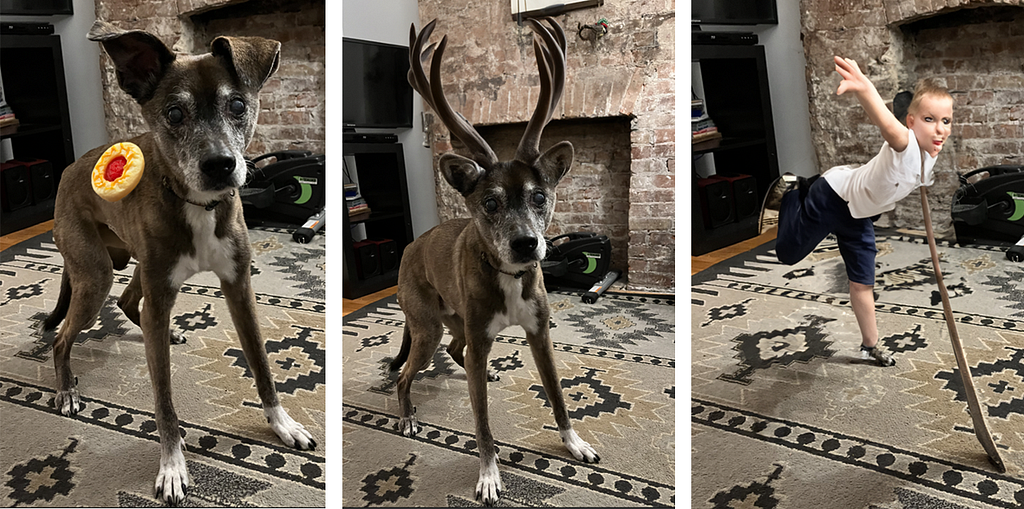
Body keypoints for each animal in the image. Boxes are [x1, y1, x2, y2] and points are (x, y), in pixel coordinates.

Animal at [389, 15, 598, 503]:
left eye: (539, 197)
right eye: (489, 203)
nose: (527, 245)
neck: (508, 275)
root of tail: (410, 248)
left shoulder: (540, 334)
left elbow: (558, 395)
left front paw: (575, 443)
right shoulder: (483, 339)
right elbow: (482, 423)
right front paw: (488, 475)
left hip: (454, 325)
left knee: (456, 351)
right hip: (425, 327)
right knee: (407, 373)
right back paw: (407, 415)